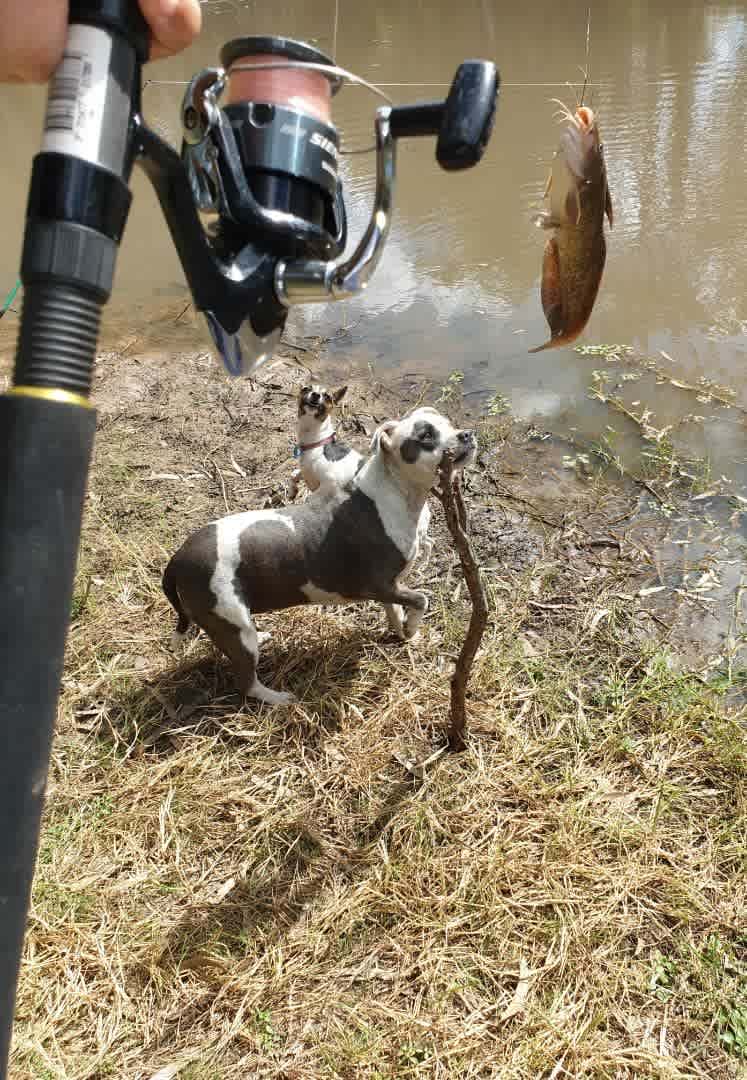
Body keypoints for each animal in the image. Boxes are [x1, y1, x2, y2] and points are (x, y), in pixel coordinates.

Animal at [163, 408, 474, 704]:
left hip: (233, 624)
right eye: (425, 435)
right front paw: (411, 627)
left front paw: (403, 631)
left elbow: (394, 612)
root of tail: (178, 559)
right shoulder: (376, 586)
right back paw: (279, 699)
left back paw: (261, 636)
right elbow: (421, 599)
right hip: (228, 617)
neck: (396, 492)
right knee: (246, 683)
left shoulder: (391, 586)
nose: (467, 434)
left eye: (449, 424)